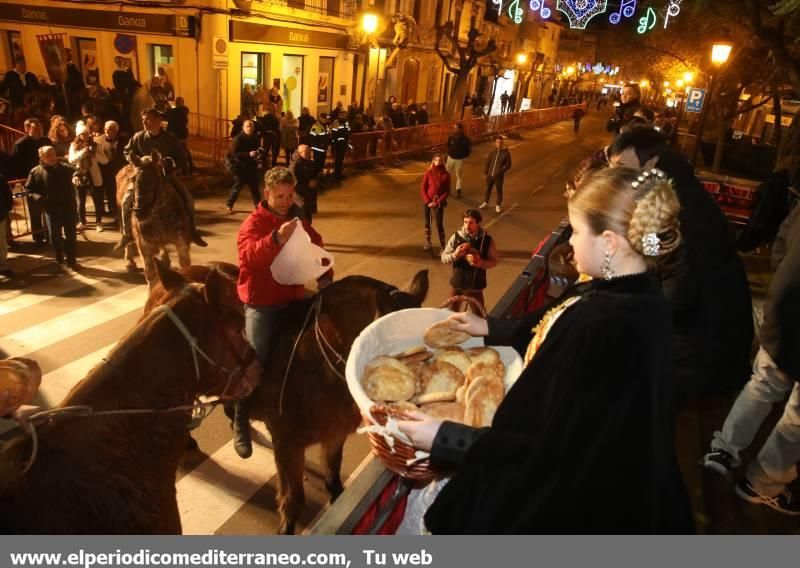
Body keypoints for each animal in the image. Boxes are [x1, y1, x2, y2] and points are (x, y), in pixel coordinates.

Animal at [116, 151, 193, 286]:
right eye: (133, 179)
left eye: (154, 179)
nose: (139, 212)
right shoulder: (144, 245)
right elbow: (150, 272)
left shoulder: (182, 241)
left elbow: (185, 264)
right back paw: (130, 262)